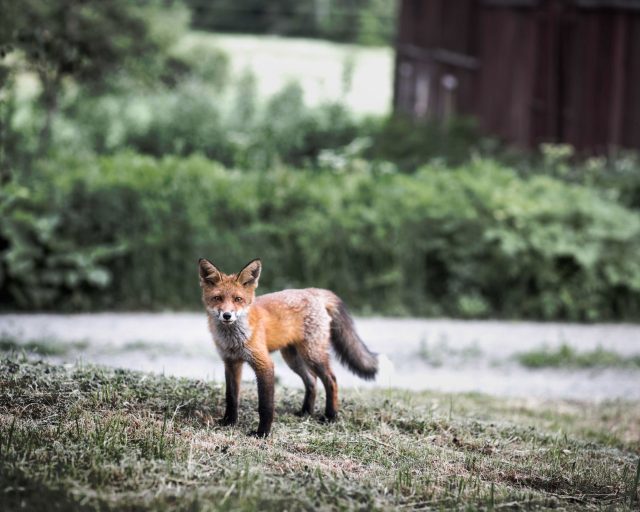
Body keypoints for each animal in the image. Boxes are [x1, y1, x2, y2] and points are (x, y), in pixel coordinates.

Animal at [198, 258, 378, 438]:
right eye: (218, 298)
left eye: (238, 299)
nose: (227, 315)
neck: (233, 339)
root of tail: (311, 291)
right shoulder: (231, 362)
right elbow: (231, 397)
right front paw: (229, 422)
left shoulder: (264, 363)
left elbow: (265, 405)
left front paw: (262, 433)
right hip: (293, 358)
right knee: (312, 380)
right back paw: (306, 412)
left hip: (312, 355)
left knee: (331, 380)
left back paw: (330, 416)